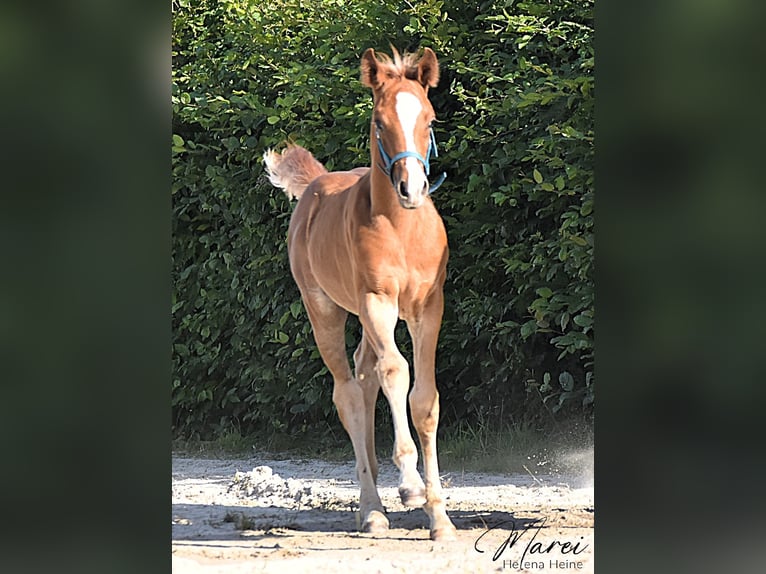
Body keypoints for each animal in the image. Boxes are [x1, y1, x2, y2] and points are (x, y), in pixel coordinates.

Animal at [263, 47, 457, 541]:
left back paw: (373, 498)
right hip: (325, 310)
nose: (412, 189)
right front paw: (409, 487)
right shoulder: (377, 301)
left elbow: (424, 399)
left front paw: (440, 518)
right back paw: (371, 509)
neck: (403, 229)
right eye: (378, 121)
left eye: (429, 119)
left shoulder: (429, 307)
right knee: (349, 392)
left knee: (364, 376)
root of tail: (316, 184)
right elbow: (396, 373)